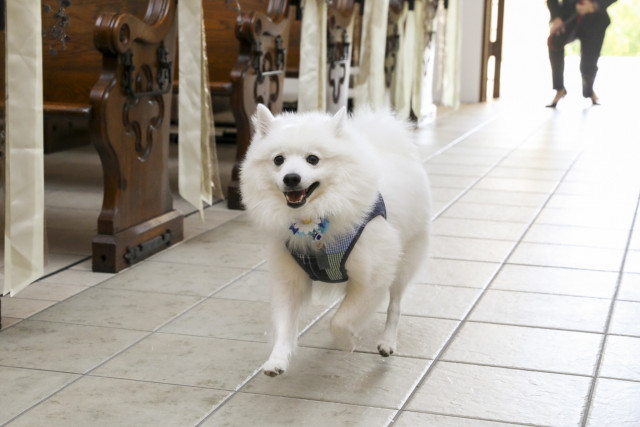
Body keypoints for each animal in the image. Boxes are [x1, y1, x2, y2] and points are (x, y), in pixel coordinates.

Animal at [239, 104, 430, 378]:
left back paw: (387, 341)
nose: (291, 178)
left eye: (313, 159)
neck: (312, 218)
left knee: (395, 304)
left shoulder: (372, 276)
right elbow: (285, 322)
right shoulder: (289, 279)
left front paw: (347, 341)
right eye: (278, 160)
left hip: (405, 260)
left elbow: (339, 320)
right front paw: (277, 359)